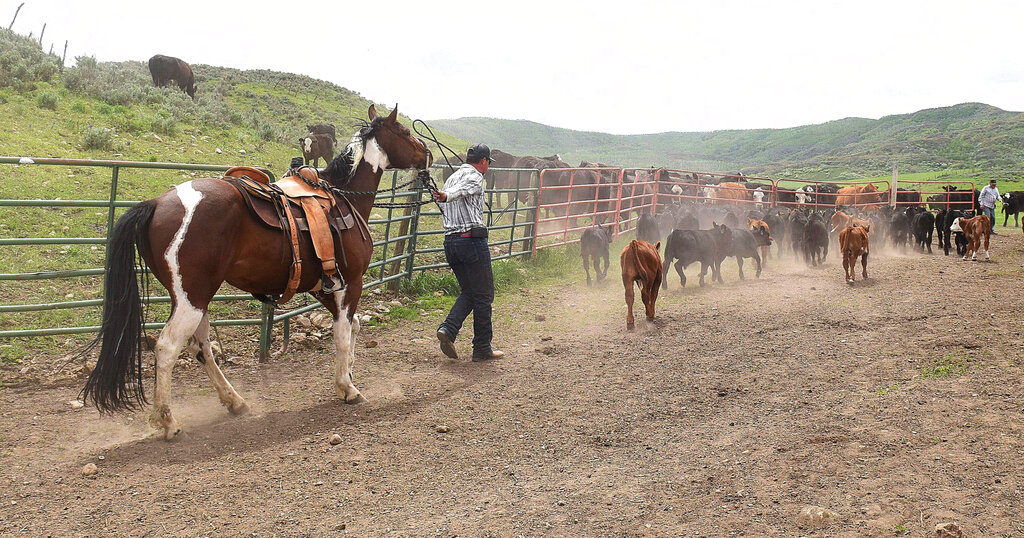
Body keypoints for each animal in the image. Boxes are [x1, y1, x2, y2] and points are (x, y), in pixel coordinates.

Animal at [81, 106, 430, 440]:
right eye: (404, 131)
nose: (426, 153)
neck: (343, 198)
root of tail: (155, 203)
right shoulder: (350, 283)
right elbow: (343, 334)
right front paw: (347, 387)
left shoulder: (325, 286)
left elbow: (353, 327)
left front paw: (350, 373)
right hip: (191, 299)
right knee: (167, 349)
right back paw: (168, 422)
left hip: (196, 298)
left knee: (201, 348)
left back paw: (234, 401)